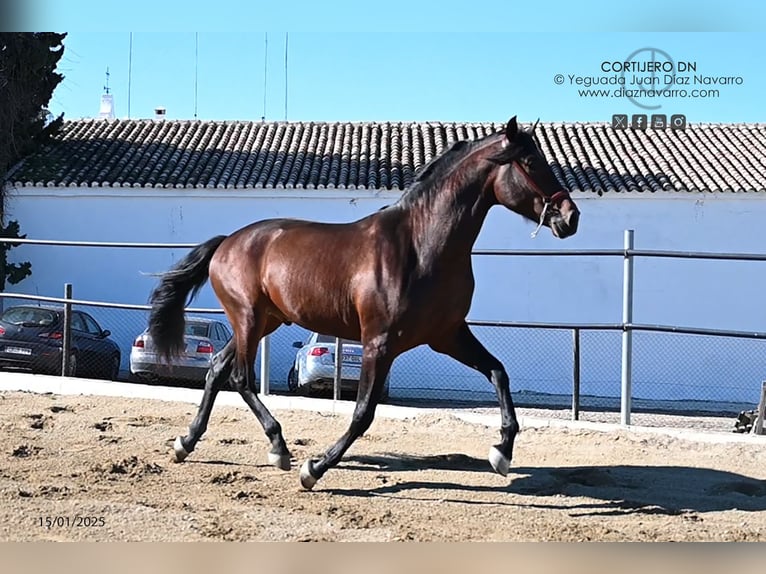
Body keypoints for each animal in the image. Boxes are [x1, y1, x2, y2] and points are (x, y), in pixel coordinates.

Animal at [148, 117, 584, 490]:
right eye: (531, 161)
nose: (570, 217)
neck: (422, 246)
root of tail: (228, 242)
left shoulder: (447, 335)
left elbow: (498, 373)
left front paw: (501, 453)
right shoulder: (380, 342)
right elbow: (363, 412)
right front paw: (315, 468)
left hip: (264, 321)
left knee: (217, 371)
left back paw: (188, 443)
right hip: (248, 318)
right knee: (238, 377)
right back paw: (279, 449)